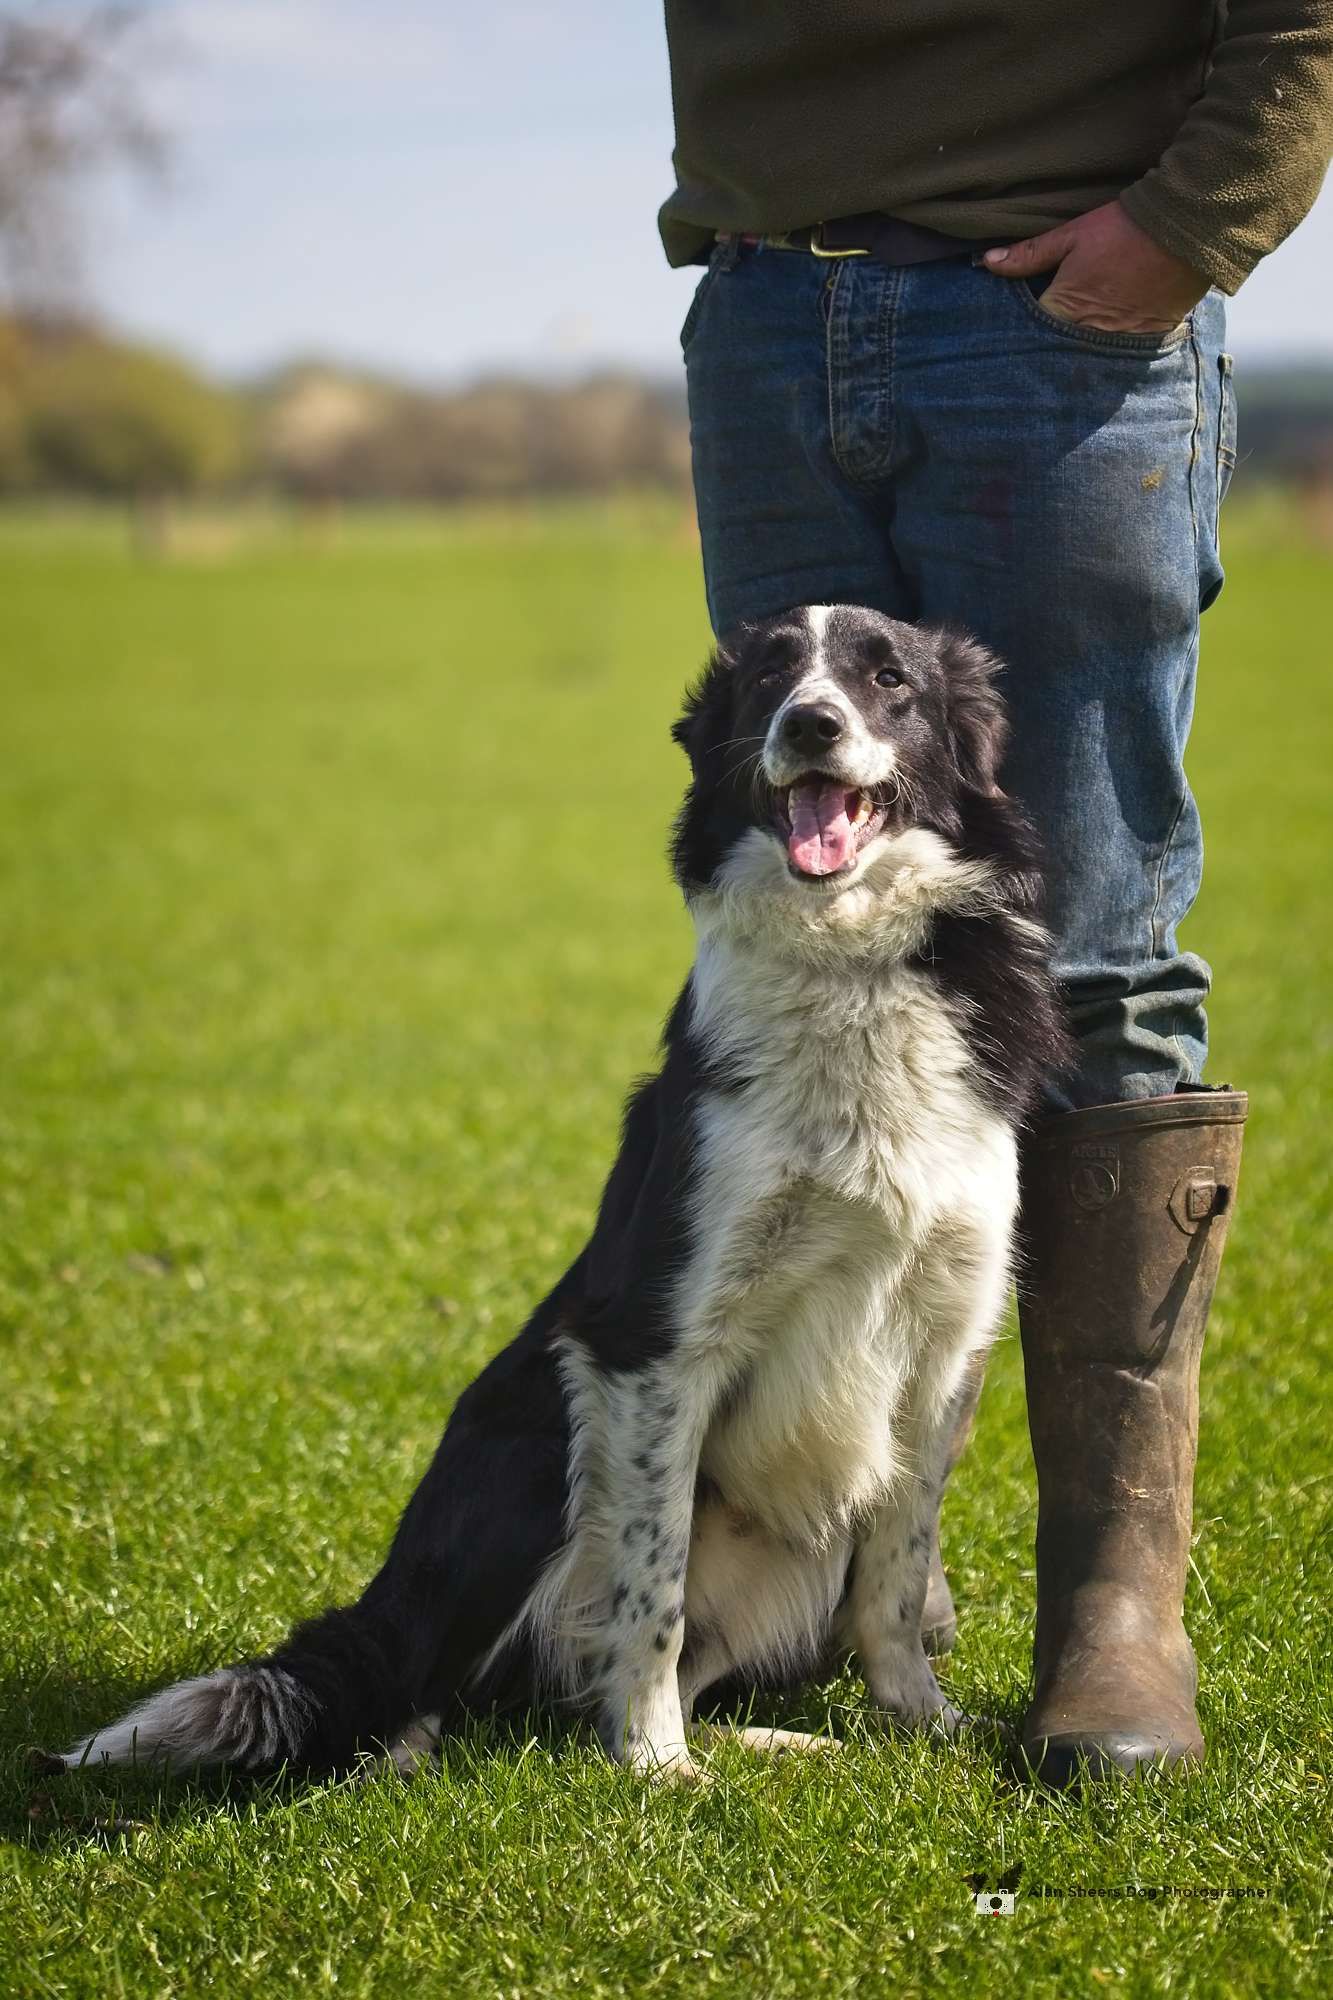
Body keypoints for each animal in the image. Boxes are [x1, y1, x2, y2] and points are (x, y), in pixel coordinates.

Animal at [62, 604, 1064, 1784]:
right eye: (770, 674)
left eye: (890, 679)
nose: (810, 723)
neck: (852, 964)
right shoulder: (652, 1341)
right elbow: (651, 1581)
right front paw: (652, 1764)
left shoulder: (944, 1340)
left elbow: (897, 1577)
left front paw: (920, 1724)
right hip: (540, 1439)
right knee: (418, 1685)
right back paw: (416, 1762)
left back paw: (779, 1738)